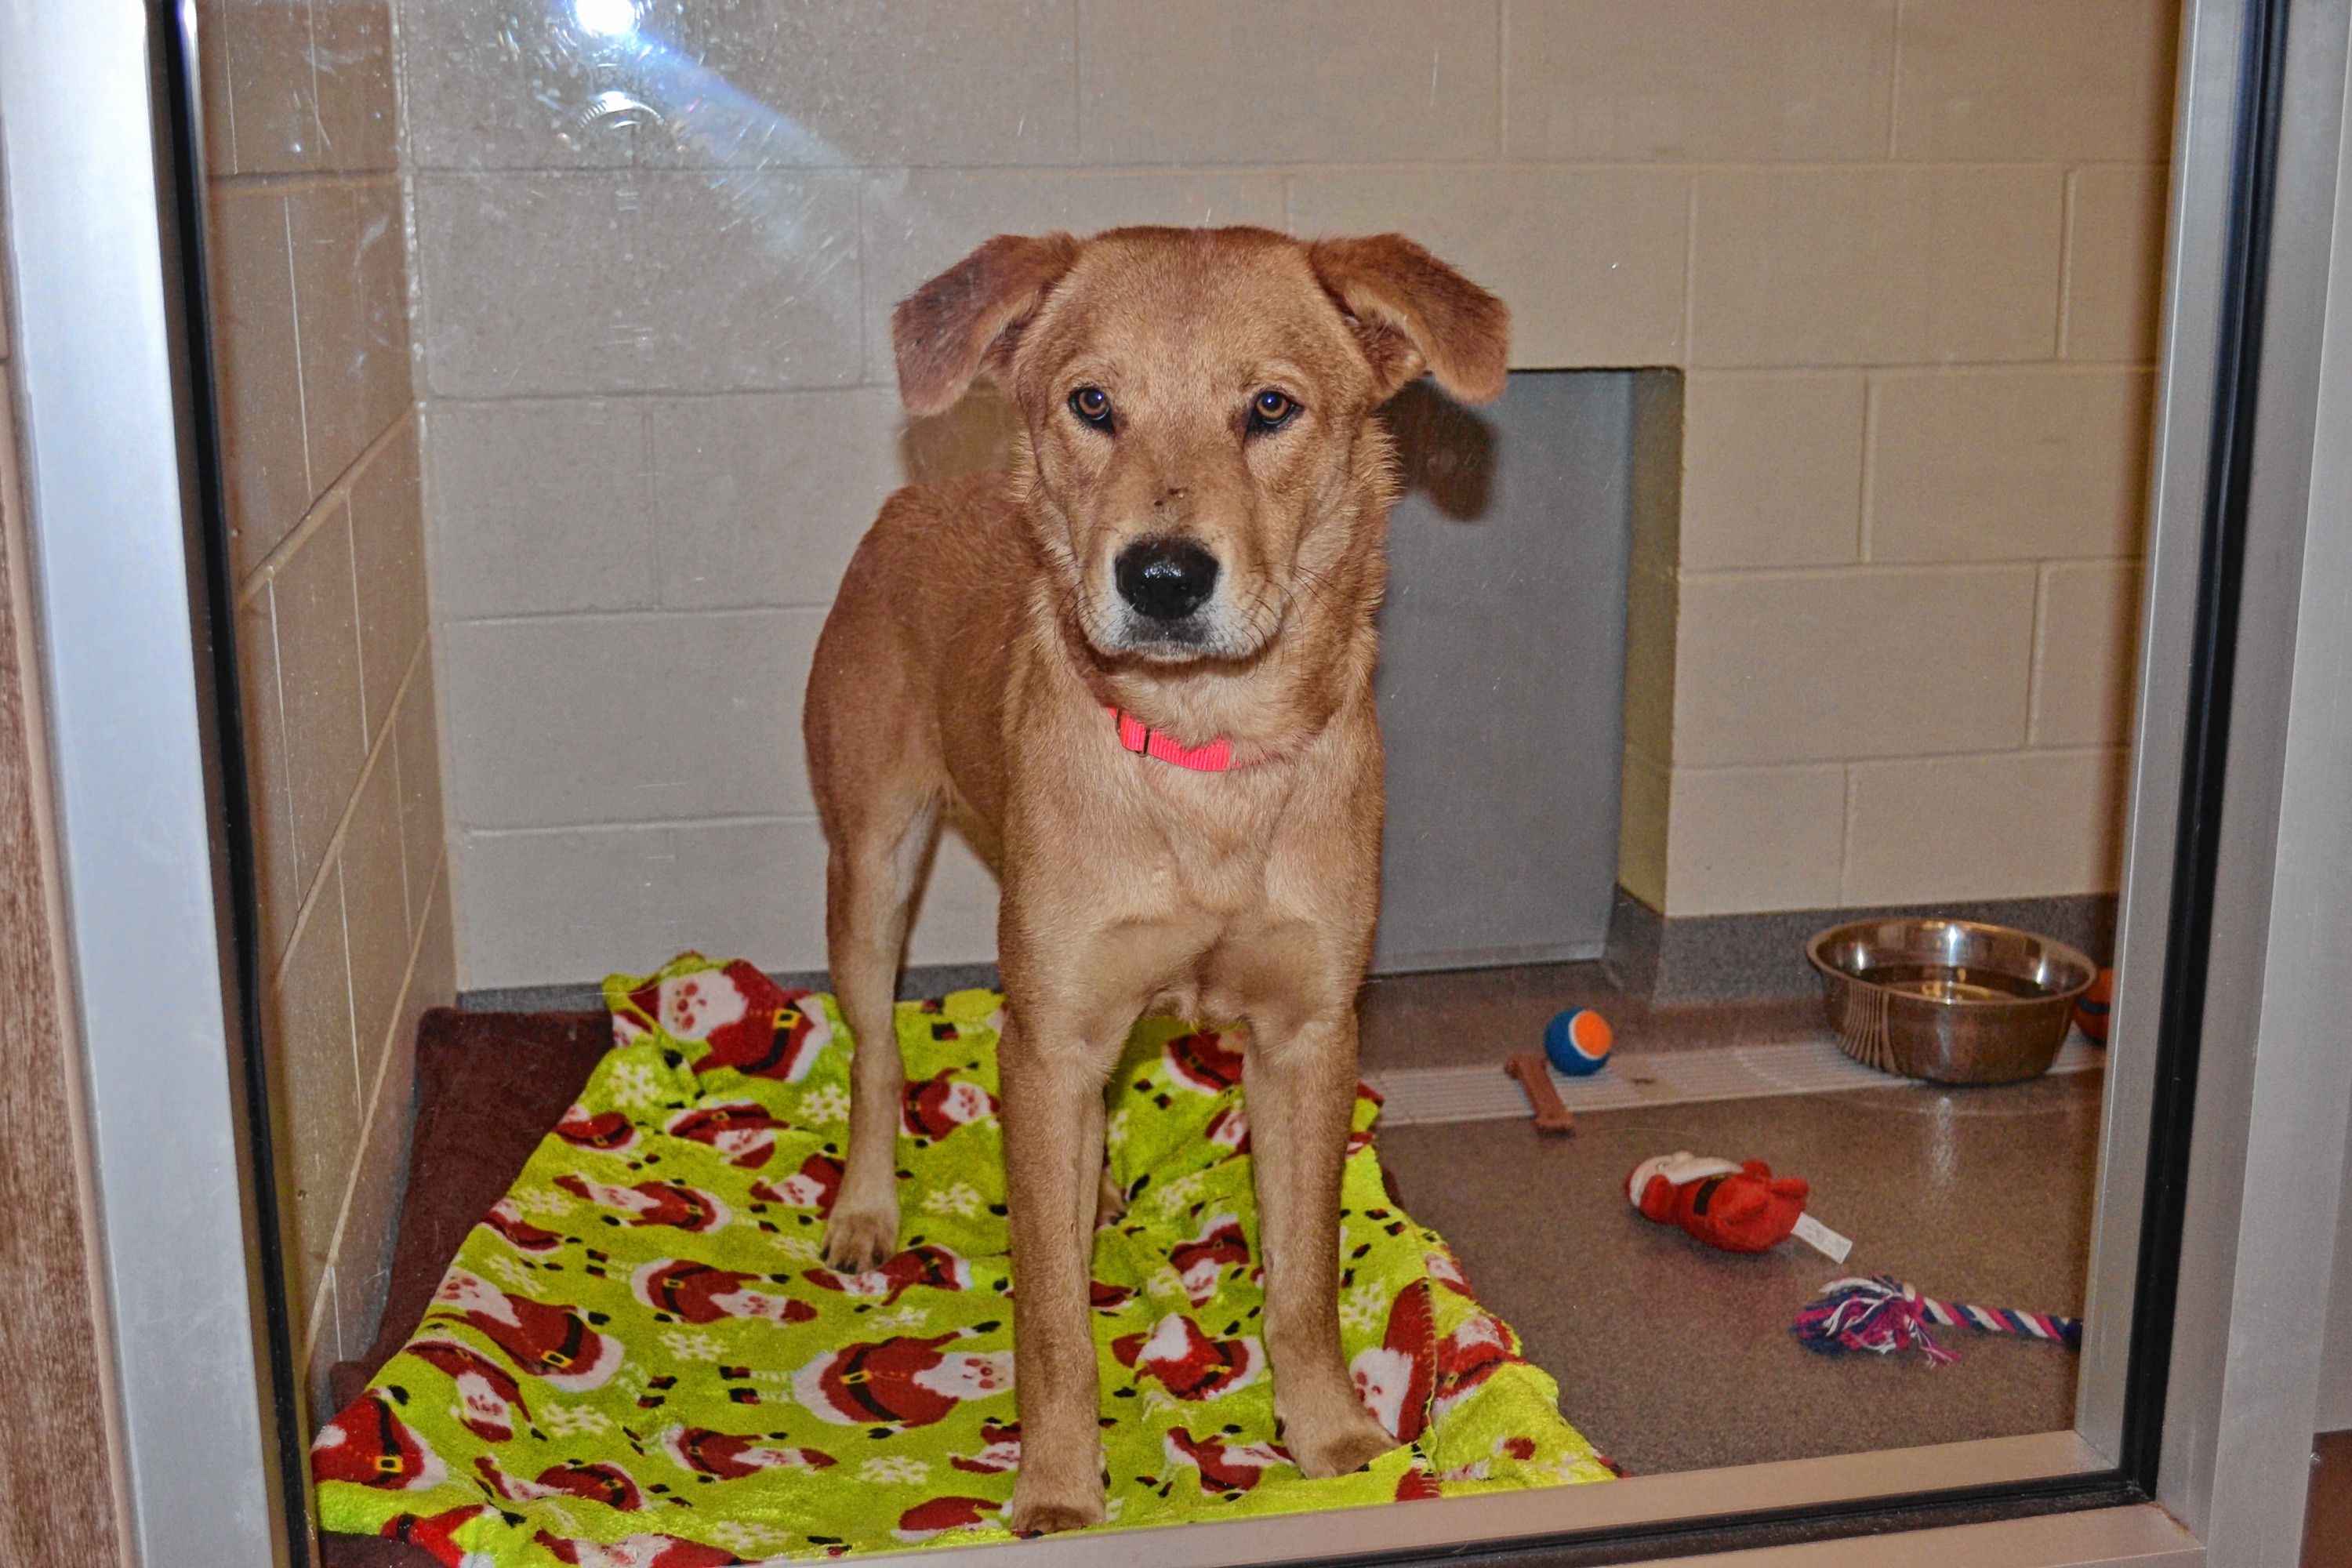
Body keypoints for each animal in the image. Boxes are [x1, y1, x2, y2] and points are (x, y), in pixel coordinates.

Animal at [809, 223, 1505, 1533]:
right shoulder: (1052, 1033)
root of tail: (918, 486)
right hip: (871, 864)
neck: (1204, 760)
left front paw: (1335, 1441)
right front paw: (1058, 1490)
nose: (1165, 578)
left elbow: (1302, 1279)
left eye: (1272, 407)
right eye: (1093, 403)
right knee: (875, 1051)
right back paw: (869, 1208)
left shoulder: (1307, 1033)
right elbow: (1050, 1323)